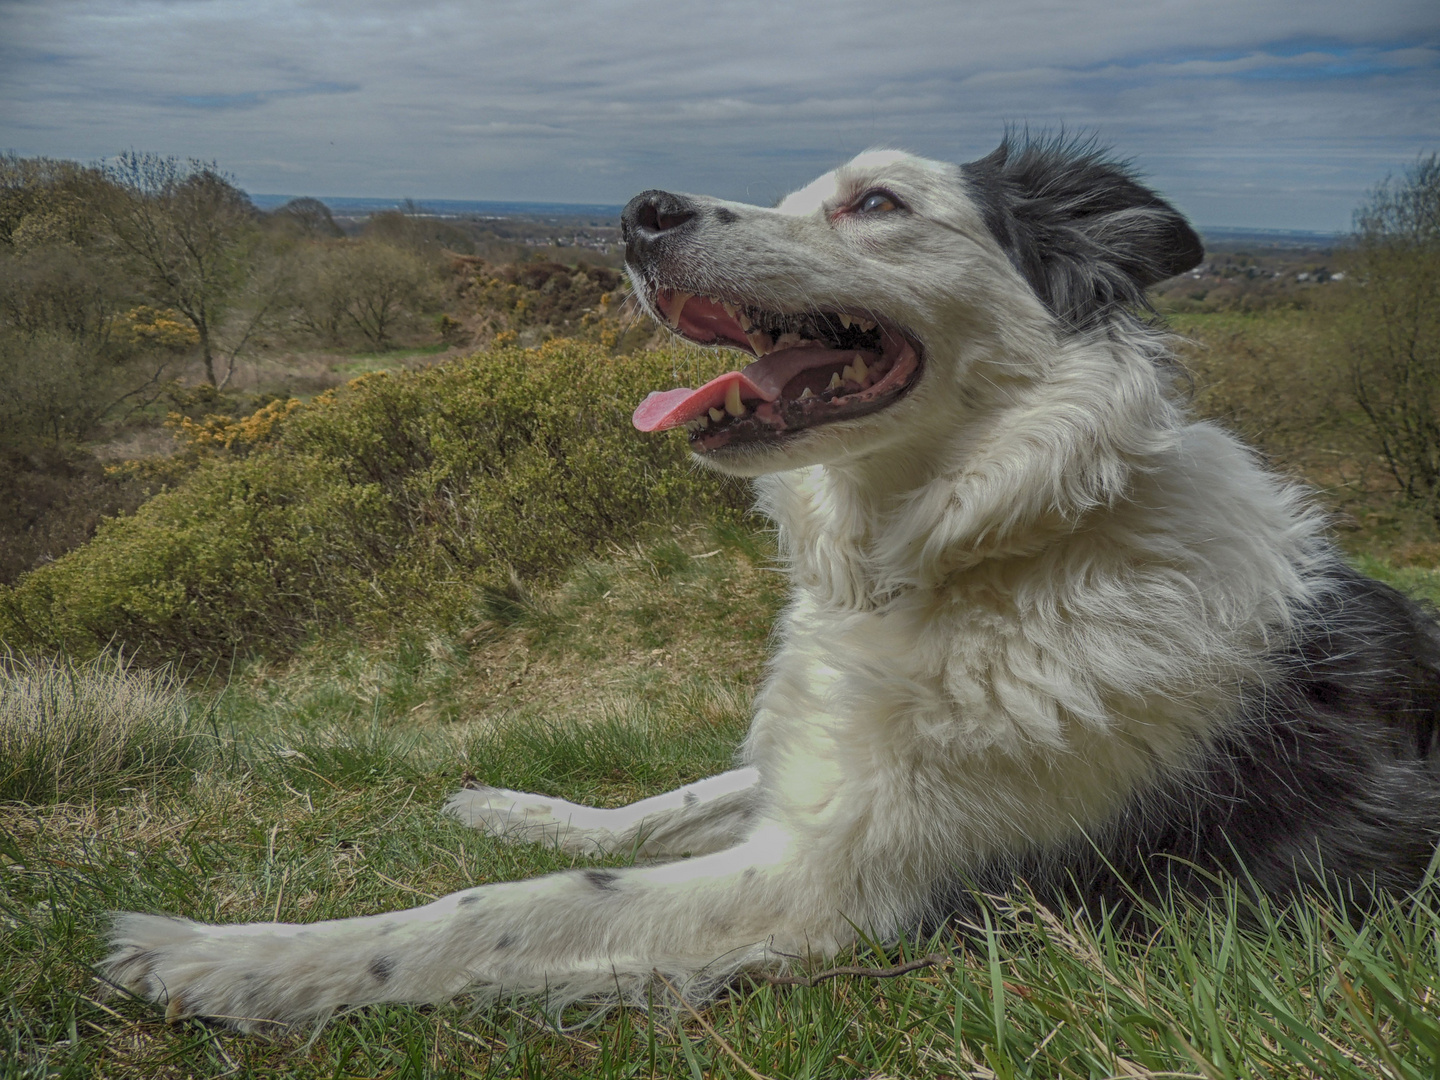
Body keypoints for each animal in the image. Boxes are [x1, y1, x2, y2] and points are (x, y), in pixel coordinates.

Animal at [104, 137, 1440, 1031]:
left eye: (877, 202)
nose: (636, 214)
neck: (974, 548)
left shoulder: (830, 890)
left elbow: (511, 910)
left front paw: (228, 959)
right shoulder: (819, 775)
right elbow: (665, 802)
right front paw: (518, 806)